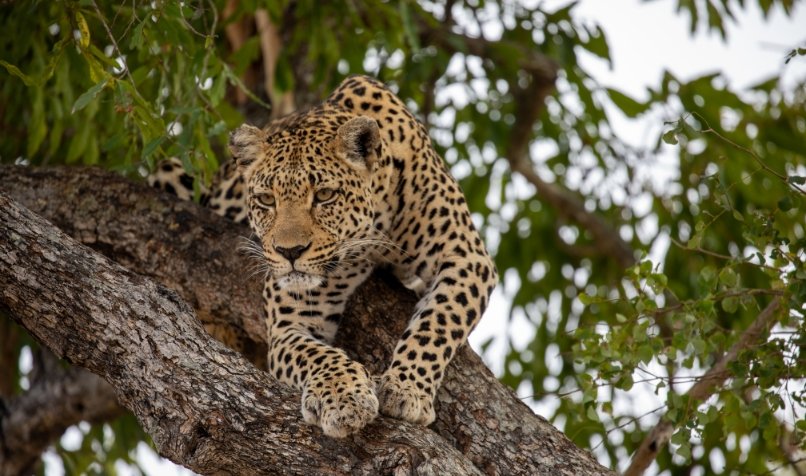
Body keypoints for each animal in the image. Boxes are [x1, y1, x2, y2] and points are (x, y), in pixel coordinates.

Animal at [149, 75, 497, 438]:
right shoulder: (291, 322)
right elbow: (317, 355)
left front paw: (406, 388)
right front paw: (344, 397)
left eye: (325, 196)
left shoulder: (465, 256)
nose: (289, 251)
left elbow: (438, 322)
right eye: (266, 199)